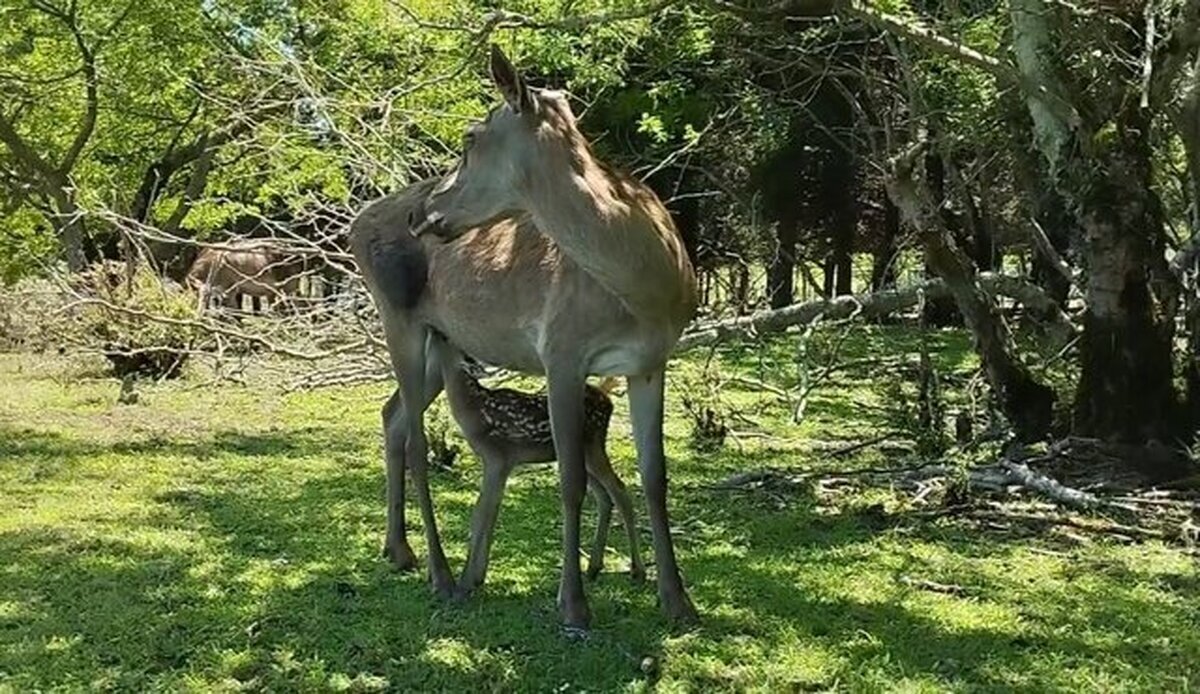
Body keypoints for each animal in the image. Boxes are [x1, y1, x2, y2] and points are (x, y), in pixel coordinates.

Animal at [348, 45, 700, 624]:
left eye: (470, 138)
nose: (421, 212)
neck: (646, 290)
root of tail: (353, 224)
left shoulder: (652, 361)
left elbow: (656, 475)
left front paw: (678, 600)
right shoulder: (561, 350)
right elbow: (571, 480)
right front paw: (573, 604)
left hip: (438, 340)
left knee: (391, 413)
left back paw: (399, 550)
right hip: (396, 314)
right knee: (418, 440)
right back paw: (441, 574)